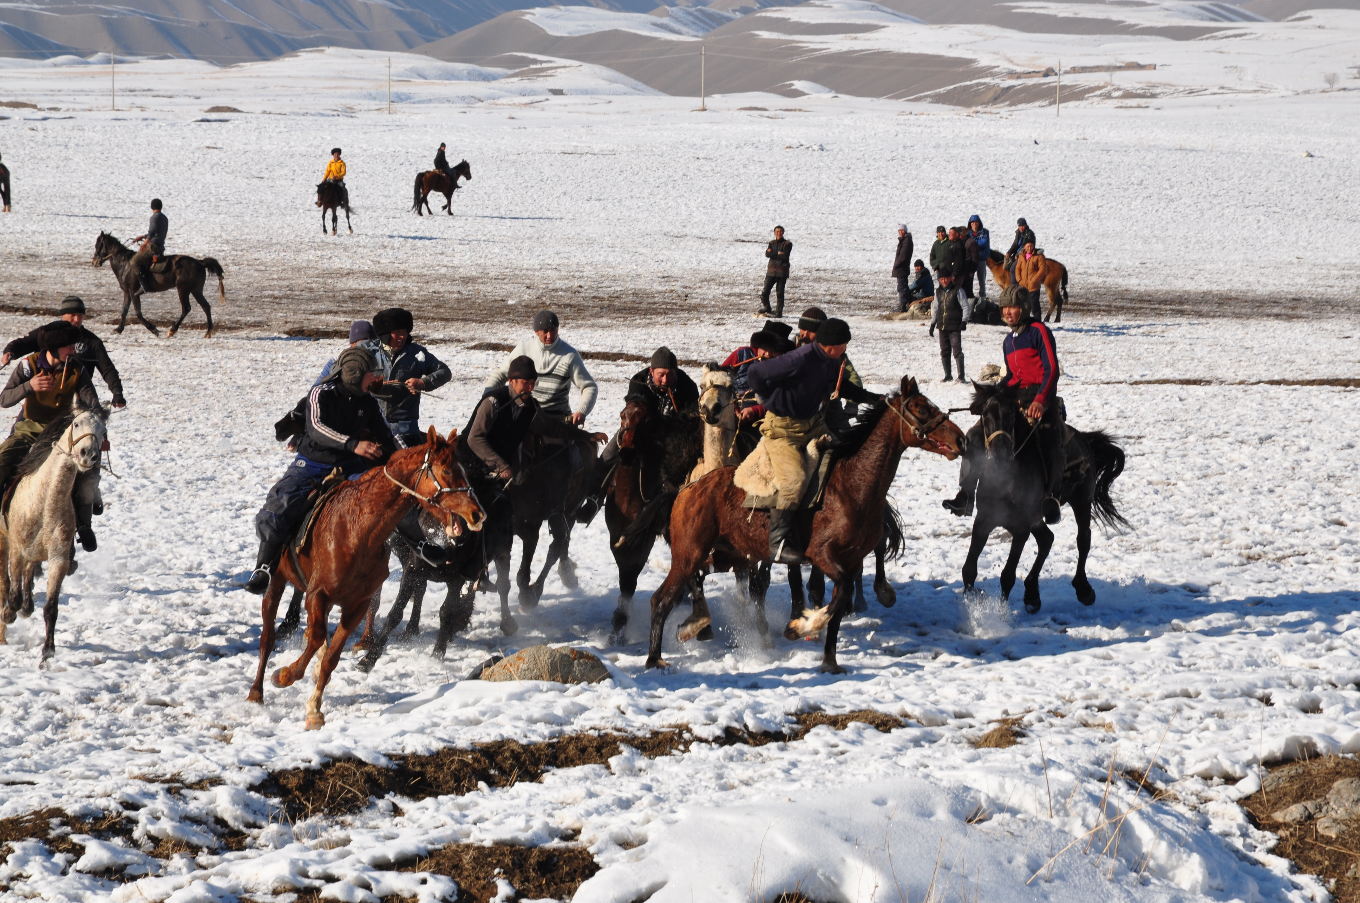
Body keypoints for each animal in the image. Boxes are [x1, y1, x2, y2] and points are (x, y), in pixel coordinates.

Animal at [0, 407, 106, 663]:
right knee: (5, 583)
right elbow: (12, 592)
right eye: (76, 424)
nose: (89, 455)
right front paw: (9, 613)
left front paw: (47, 652)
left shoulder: (58, 559)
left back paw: (26, 608)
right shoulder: (17, 549)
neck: (45, 501)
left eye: (103, 431)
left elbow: (51, 607)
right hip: (4, 542)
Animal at [91, 231, 223, 337]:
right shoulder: (127, 292)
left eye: (98, 245)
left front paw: (154, 329)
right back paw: (208, 332)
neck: (125, 264)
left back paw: (172, 330)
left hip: (183, 290)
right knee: (206, 306)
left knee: (186, 308)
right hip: (196, 290)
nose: (94, 262)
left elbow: (138, 313)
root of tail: (200, 262)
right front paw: (118, 329)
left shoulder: (133, 292)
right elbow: (124, 311)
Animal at [247, 427, 486, 728]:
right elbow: (316, 638)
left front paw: (314, 710)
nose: (477, 514)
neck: (357, 531)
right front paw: (284, 676)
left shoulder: (356, 605)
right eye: (445, 470)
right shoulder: (318, 594)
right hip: (276, 580)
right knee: (267, 637)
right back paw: (256, 693)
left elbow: (331, 657)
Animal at [647, 378, 968, 674]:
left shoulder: (851, 561)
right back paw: (656, 658)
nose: (961, 440)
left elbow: (838, 602)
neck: (851, 485)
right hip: (689, 555)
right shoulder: (823, 557)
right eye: (921, 409)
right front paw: (801, 626)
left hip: (725, 555)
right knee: (661, 599)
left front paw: (829, 661)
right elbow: (834, 595)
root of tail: (688, 490)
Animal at [962, 380, 1131, 614]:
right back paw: (1032, 594)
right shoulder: (984, 520)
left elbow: (1007, 576)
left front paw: (1000, 615)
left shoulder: (1021, 528)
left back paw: (1083, 589)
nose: (1000, 454)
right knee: (1047, 539)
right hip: (1038, 517)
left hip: (1081, 501)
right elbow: (969, 570)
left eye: (1011, 415)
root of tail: (1084, 440)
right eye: (985, 414)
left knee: (1083, 539)